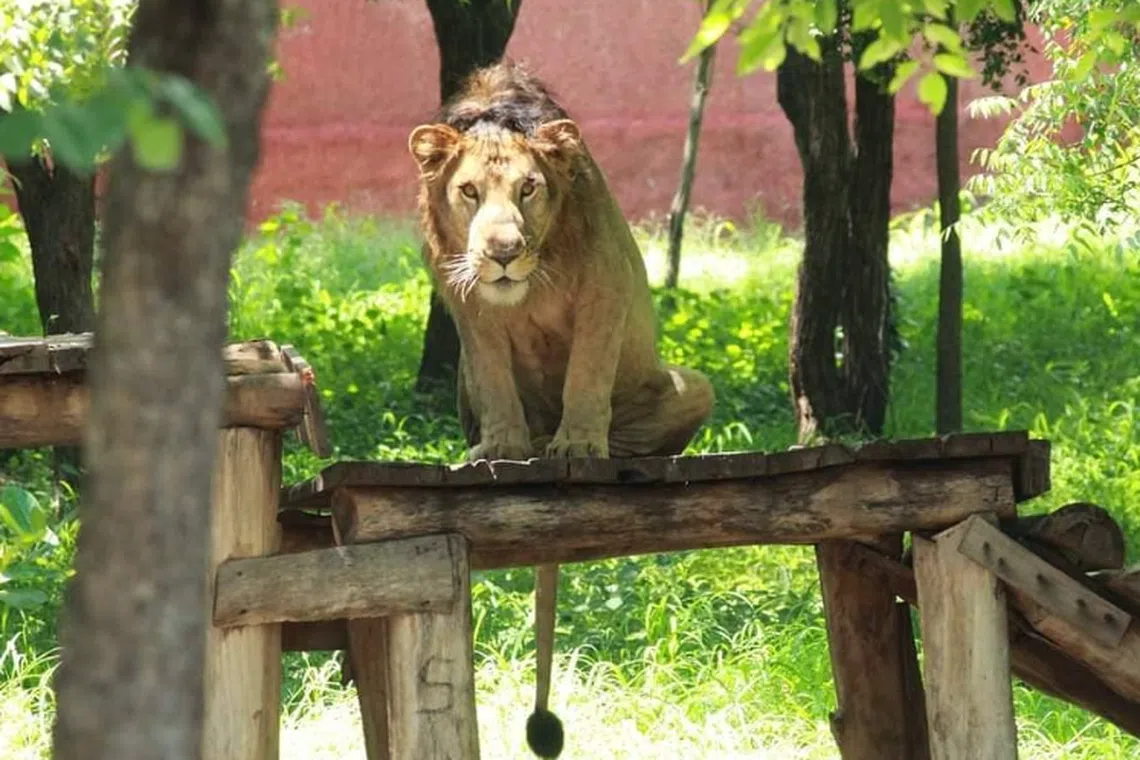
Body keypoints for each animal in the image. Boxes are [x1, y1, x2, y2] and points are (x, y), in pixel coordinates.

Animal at [408, 60, 715, 758]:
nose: (500, 251)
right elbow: (494, 373)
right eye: (469, 192)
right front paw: (500, 447)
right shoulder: (461, 294)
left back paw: (578, 447)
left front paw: (578, 446)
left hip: (696, 384)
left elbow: (587, 372)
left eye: (529, 189)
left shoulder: (605, 282)